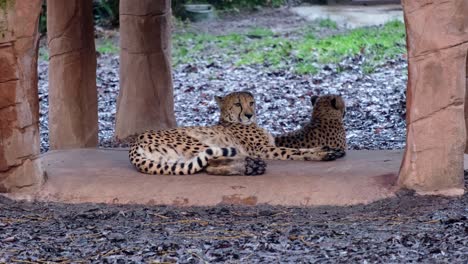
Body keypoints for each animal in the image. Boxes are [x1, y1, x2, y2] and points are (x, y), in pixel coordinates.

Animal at [129, 91, 344, 175]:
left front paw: (327, 149)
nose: (249, 114)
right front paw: (323, 154)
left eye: (252, 102)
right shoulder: (264, 149)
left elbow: (301, 147)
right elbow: (294, 152)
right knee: (211, 163)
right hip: (199, 143)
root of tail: (135, 141)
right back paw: (251, 167)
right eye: (238, 104)